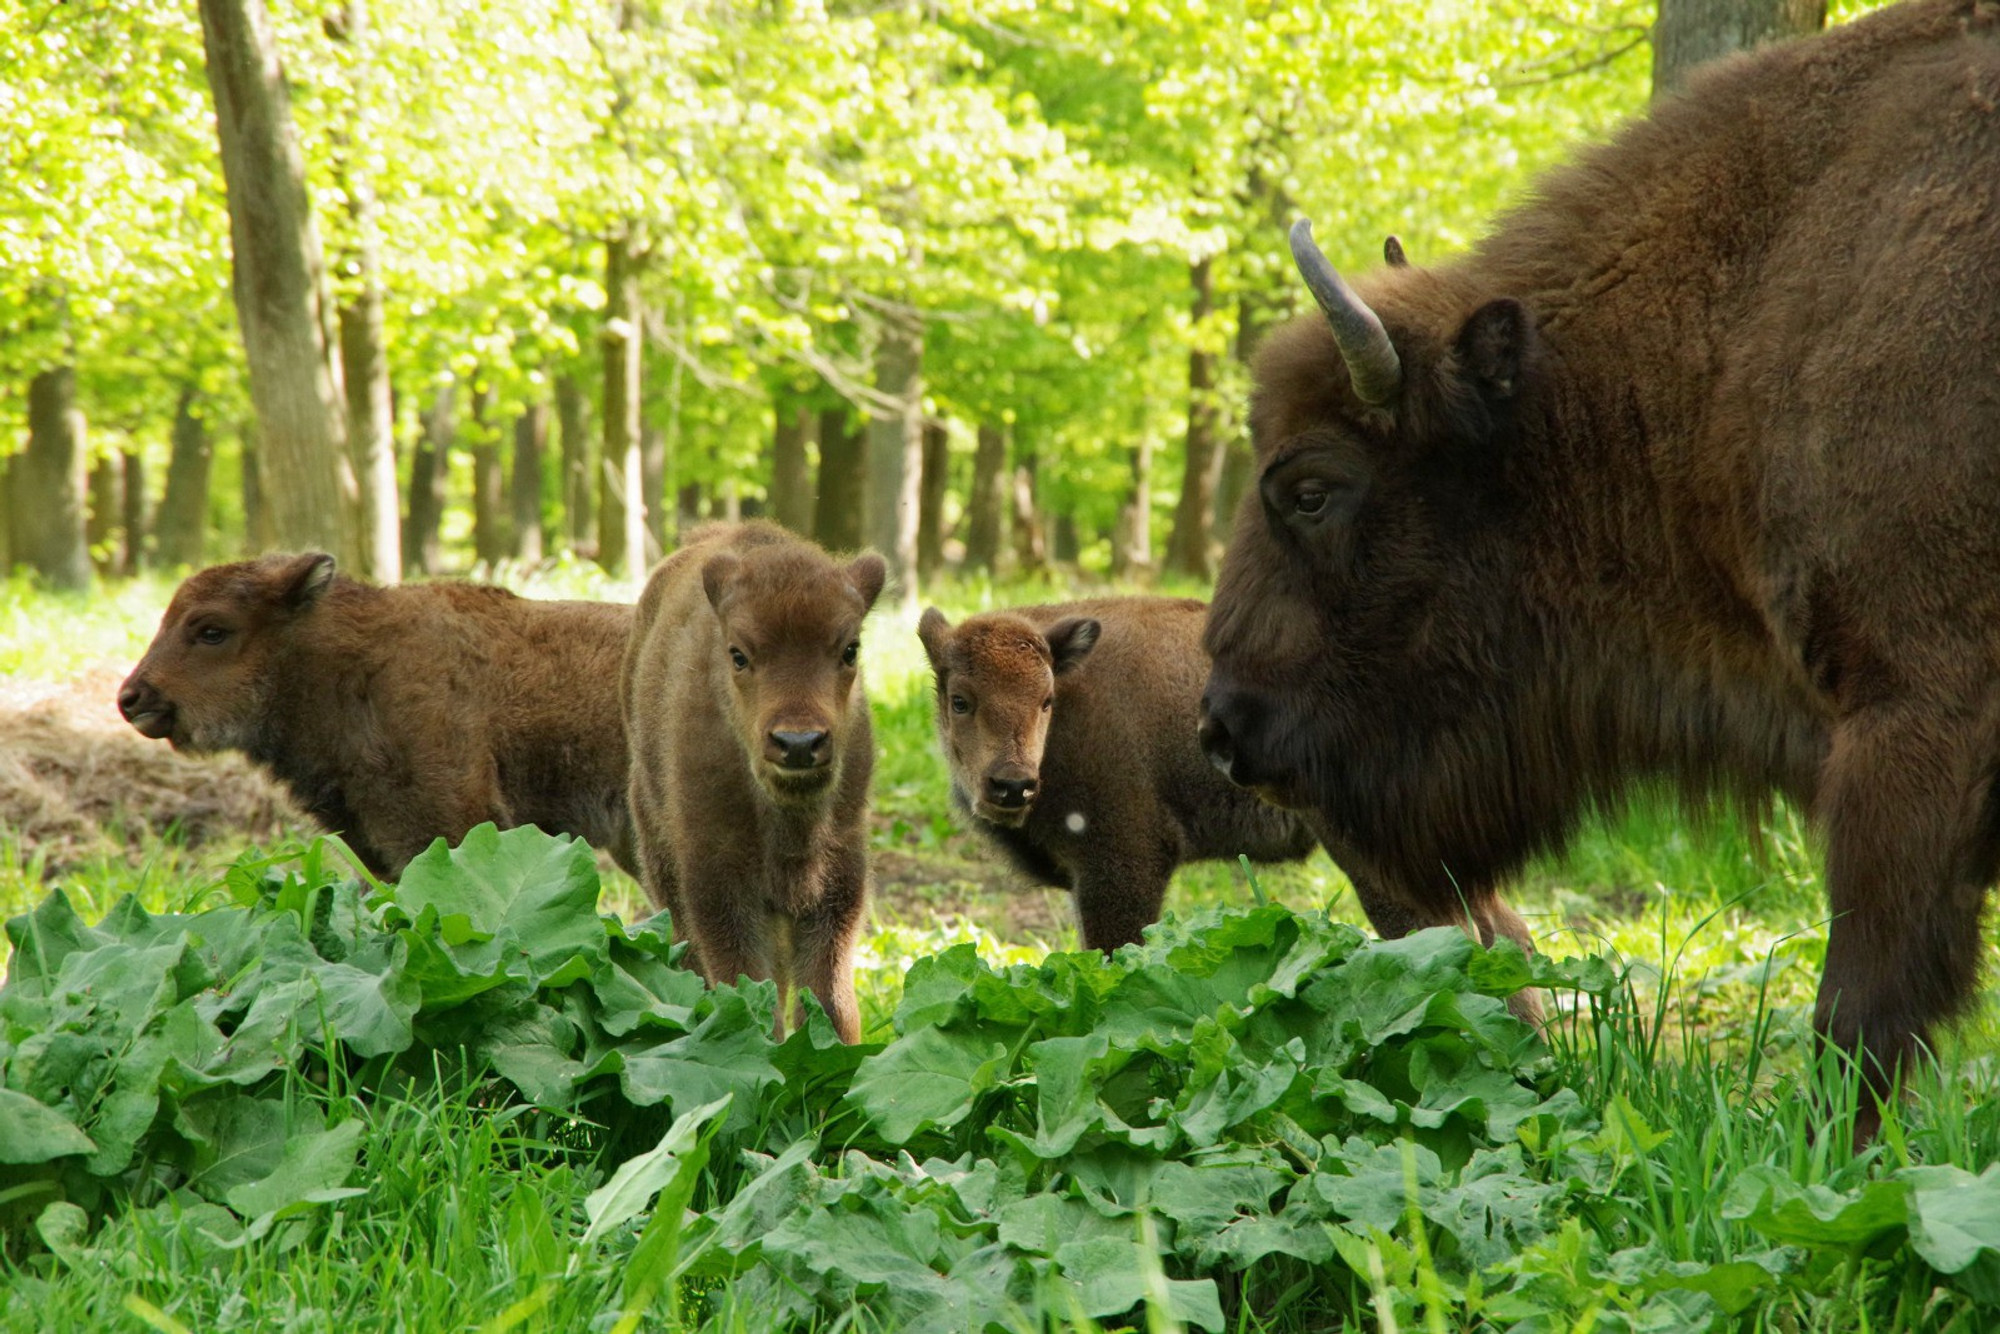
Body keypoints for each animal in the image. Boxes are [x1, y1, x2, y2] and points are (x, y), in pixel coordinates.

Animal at [620, 520, 880, 1040]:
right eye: (738, 654)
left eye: (850, 649)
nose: (798, 742)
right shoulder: (718, 886)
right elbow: (743, 983)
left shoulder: (838, 881)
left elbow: (831, 999)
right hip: (660, 856)